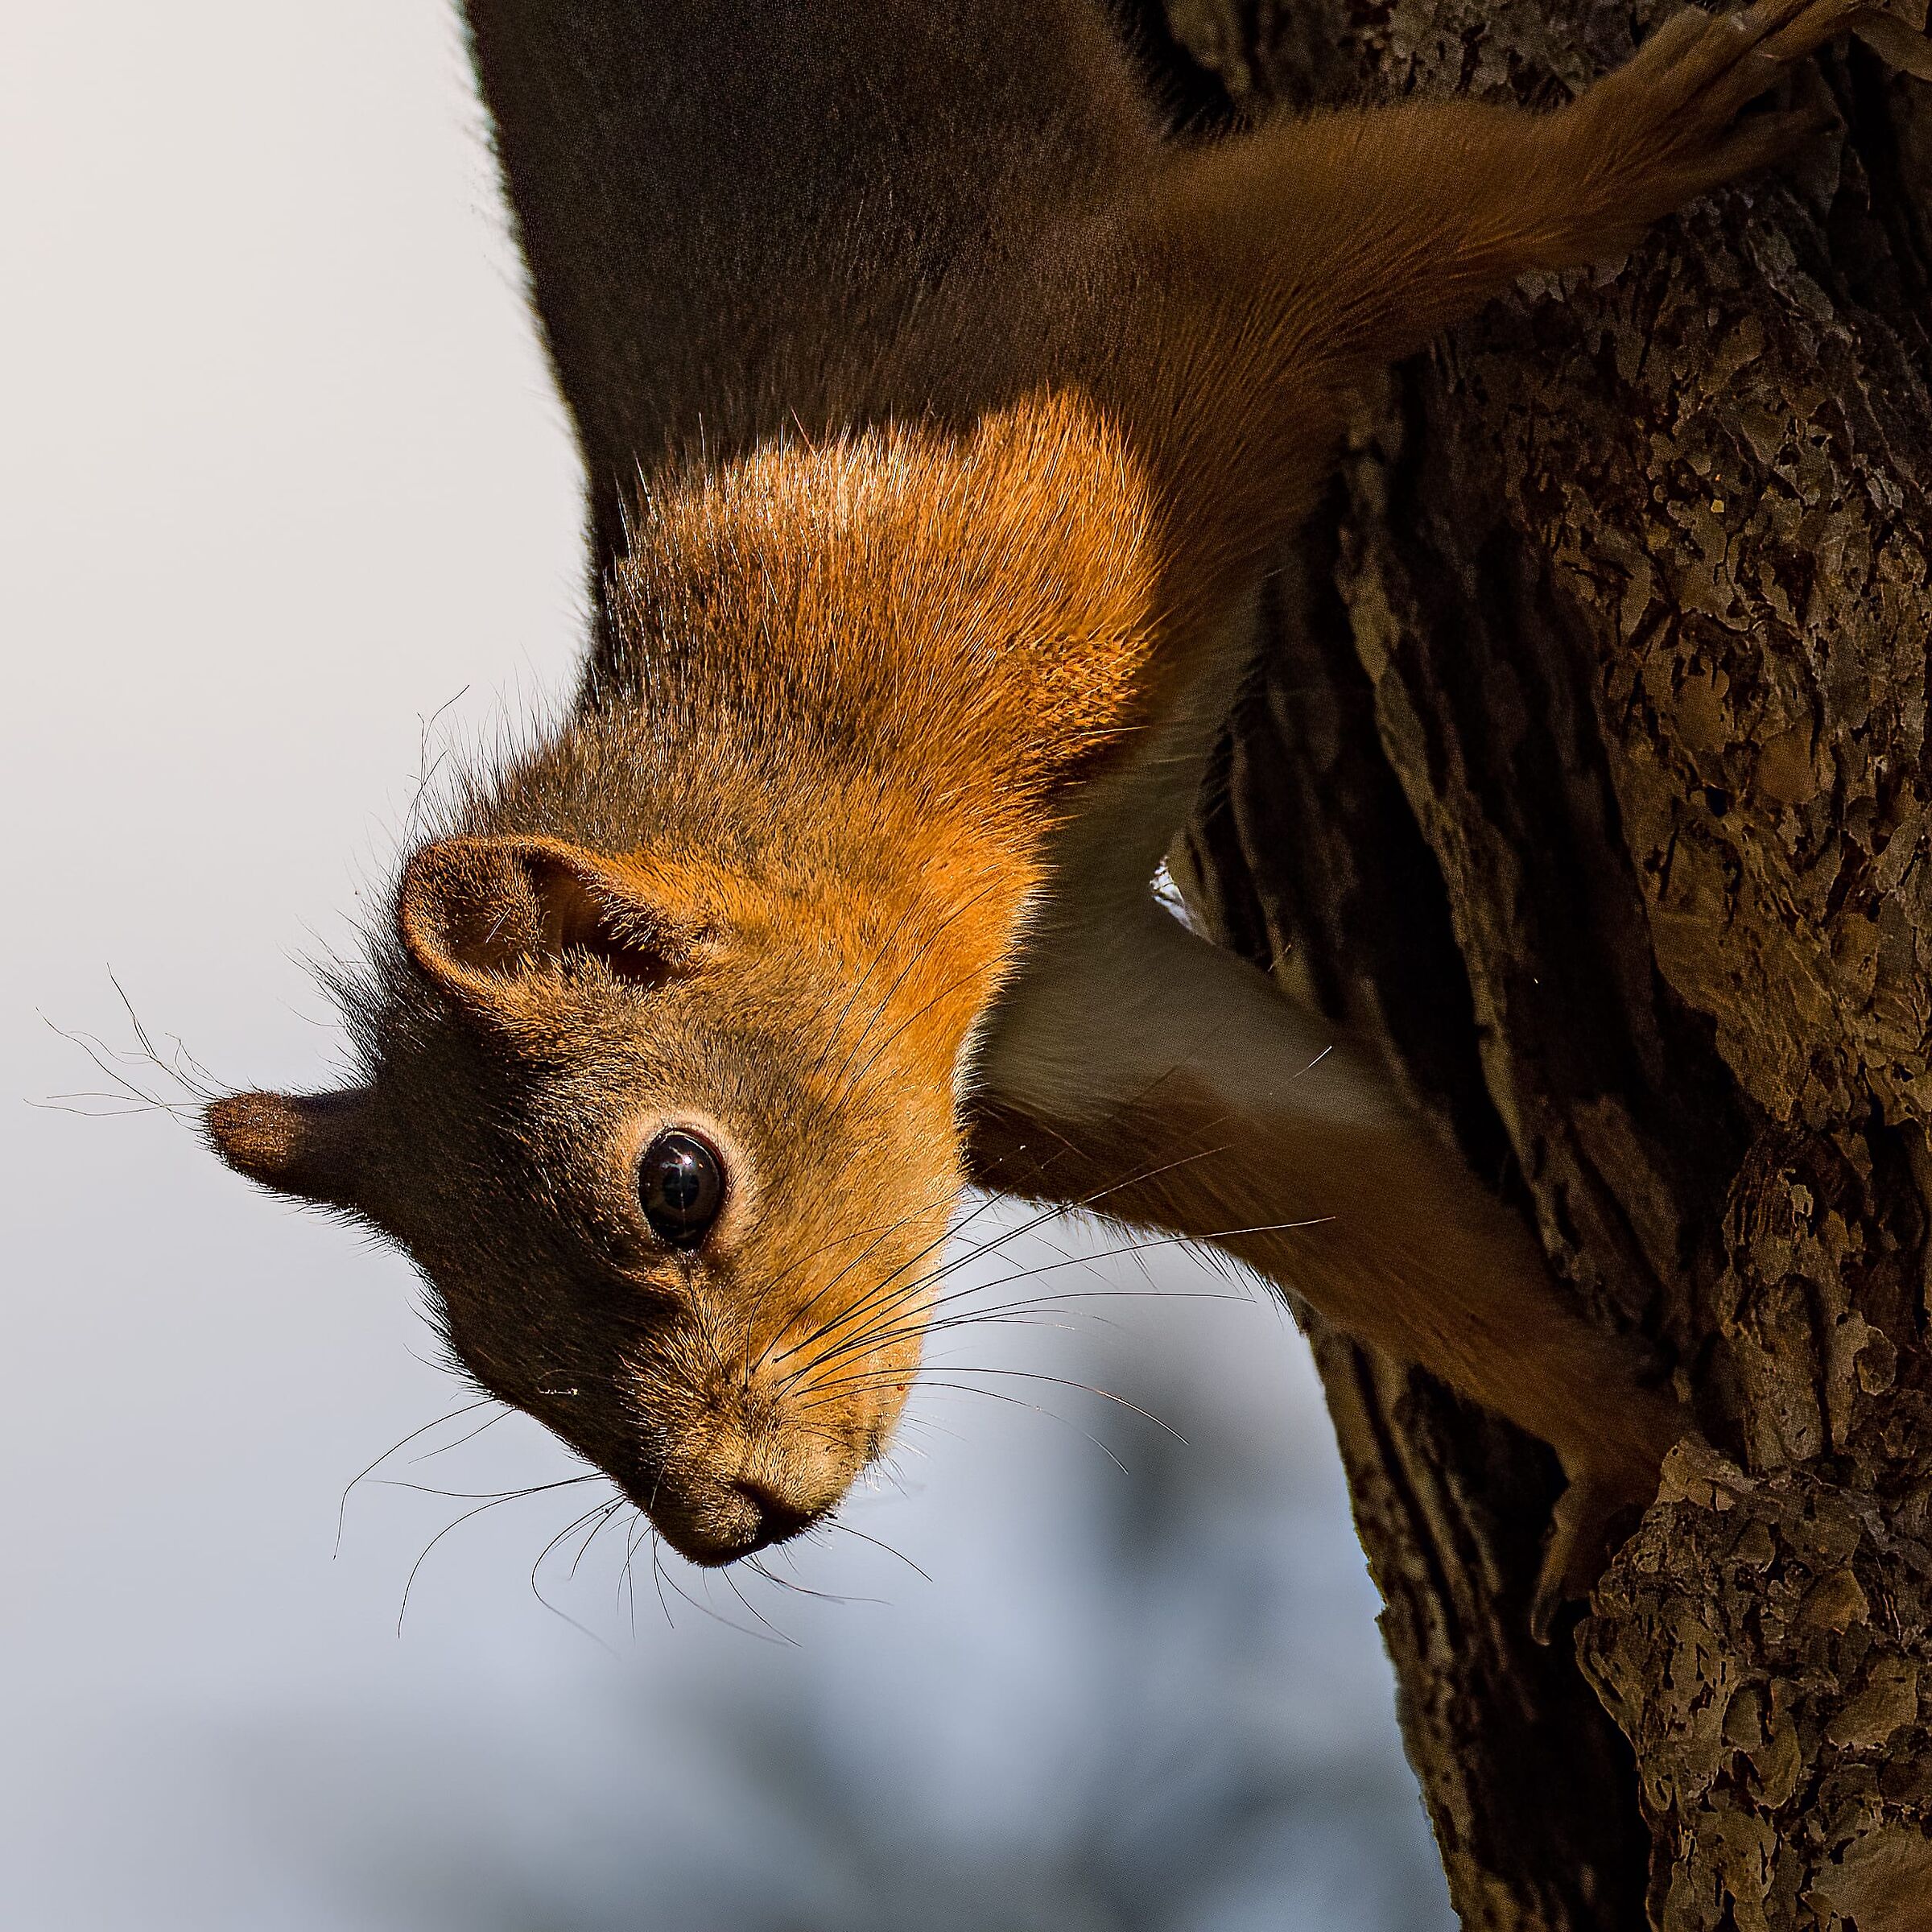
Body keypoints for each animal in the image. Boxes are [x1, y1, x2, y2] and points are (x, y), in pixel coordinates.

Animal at [203, 0, 1925, 1637]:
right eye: (483, 1356)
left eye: (675, 1182)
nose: (731, 1524)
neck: (839, 781)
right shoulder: (1083, 1027)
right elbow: (1356, 1187)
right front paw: (1622, 1448)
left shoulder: (1097, 405)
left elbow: (1372, 218)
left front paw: (1636, 135)